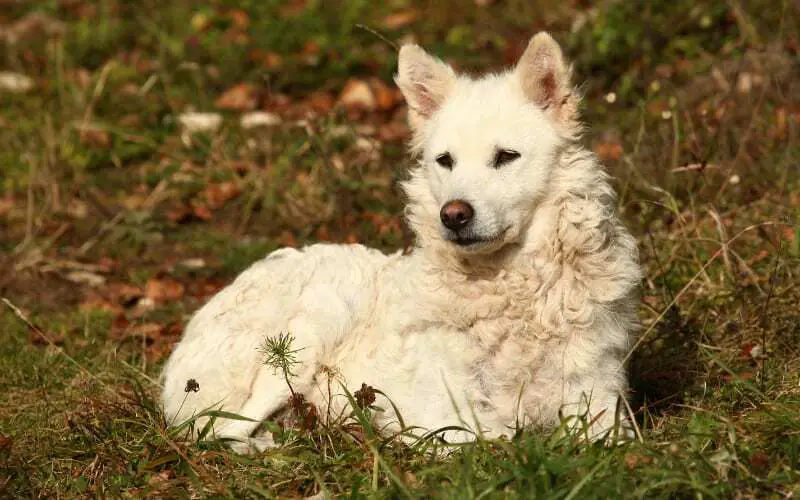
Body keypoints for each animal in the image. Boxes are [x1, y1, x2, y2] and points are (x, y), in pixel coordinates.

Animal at [161, 32, 642, 453]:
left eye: (506, 157)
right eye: (445, 161)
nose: (454, 215)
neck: (512, 288)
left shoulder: (600, 403)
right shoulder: (444, 416)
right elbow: (493, 440)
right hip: (313, 327)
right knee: (216, 431)